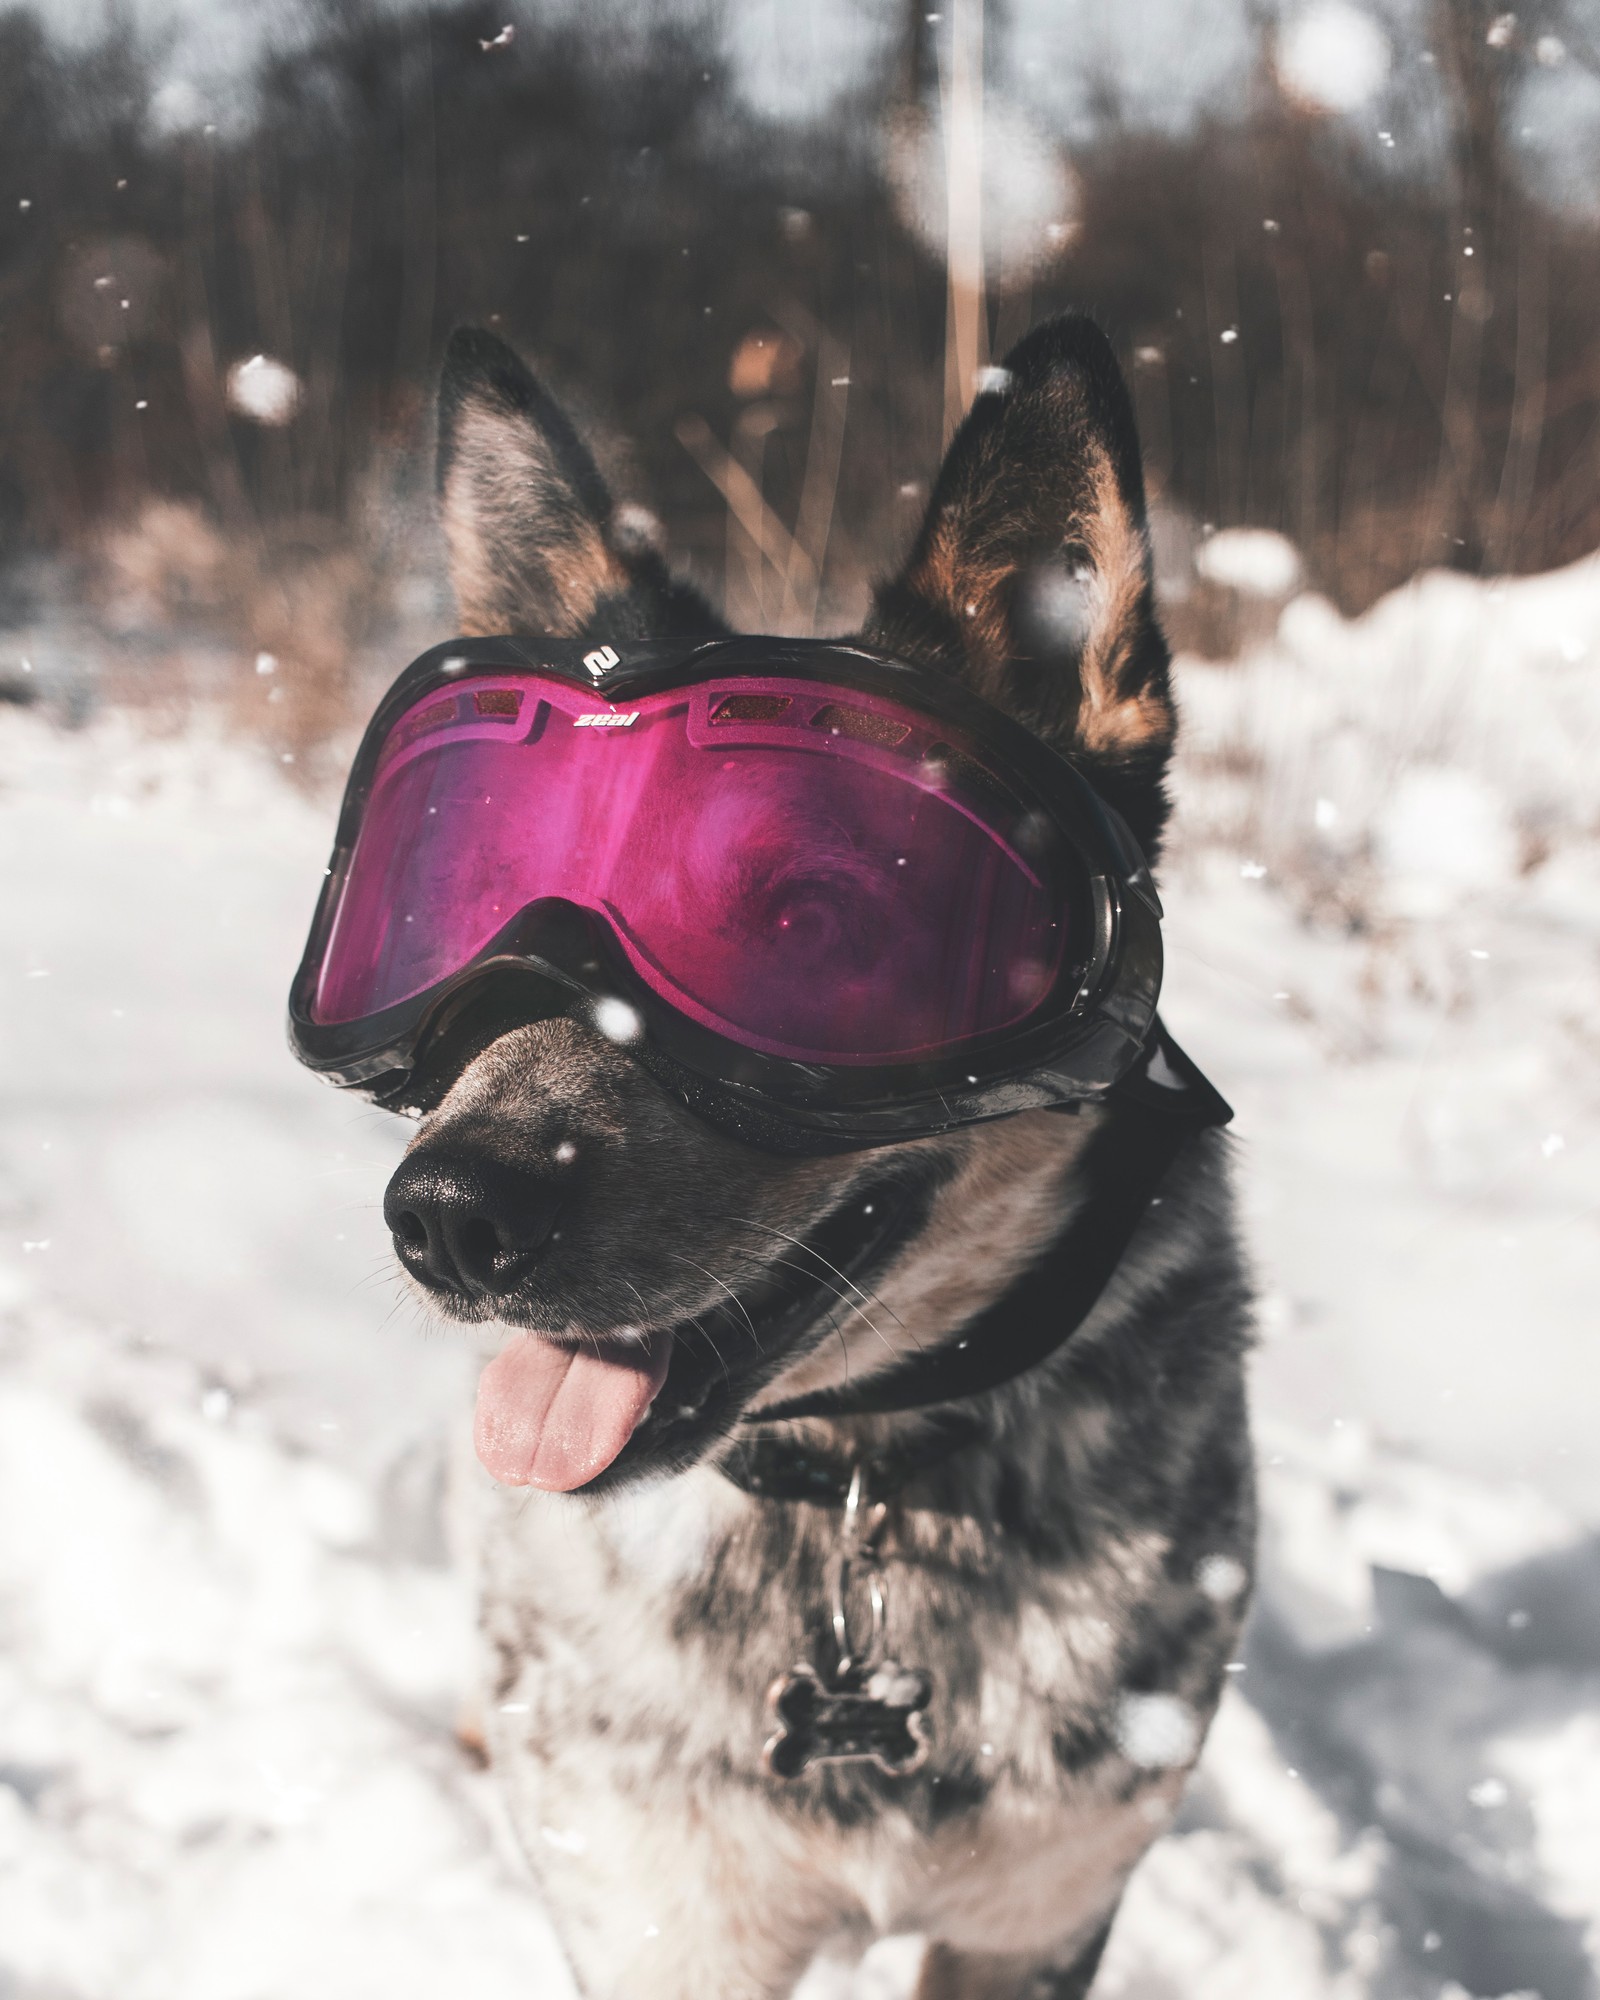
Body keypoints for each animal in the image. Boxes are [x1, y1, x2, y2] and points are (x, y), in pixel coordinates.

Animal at [368, 320, 1256, 1992]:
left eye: (813, 926)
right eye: (482, 900)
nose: (448, 1215)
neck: (855, 1499)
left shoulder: (1041, 1913)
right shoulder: (661, 1922)